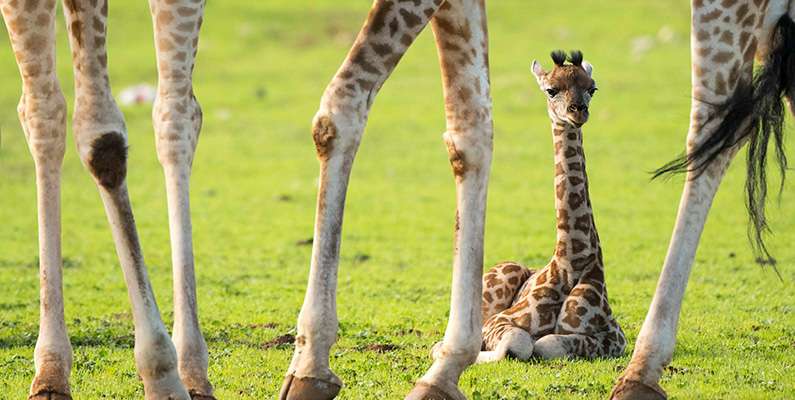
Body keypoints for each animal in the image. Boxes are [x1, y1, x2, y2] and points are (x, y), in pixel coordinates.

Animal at [476, 50, 624, 362]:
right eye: (551, 90)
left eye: (592, 88)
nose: (578, 112)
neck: (571, 263)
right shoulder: (497, 321)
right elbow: (520, 342)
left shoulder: (615, 335)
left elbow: (549, 343)